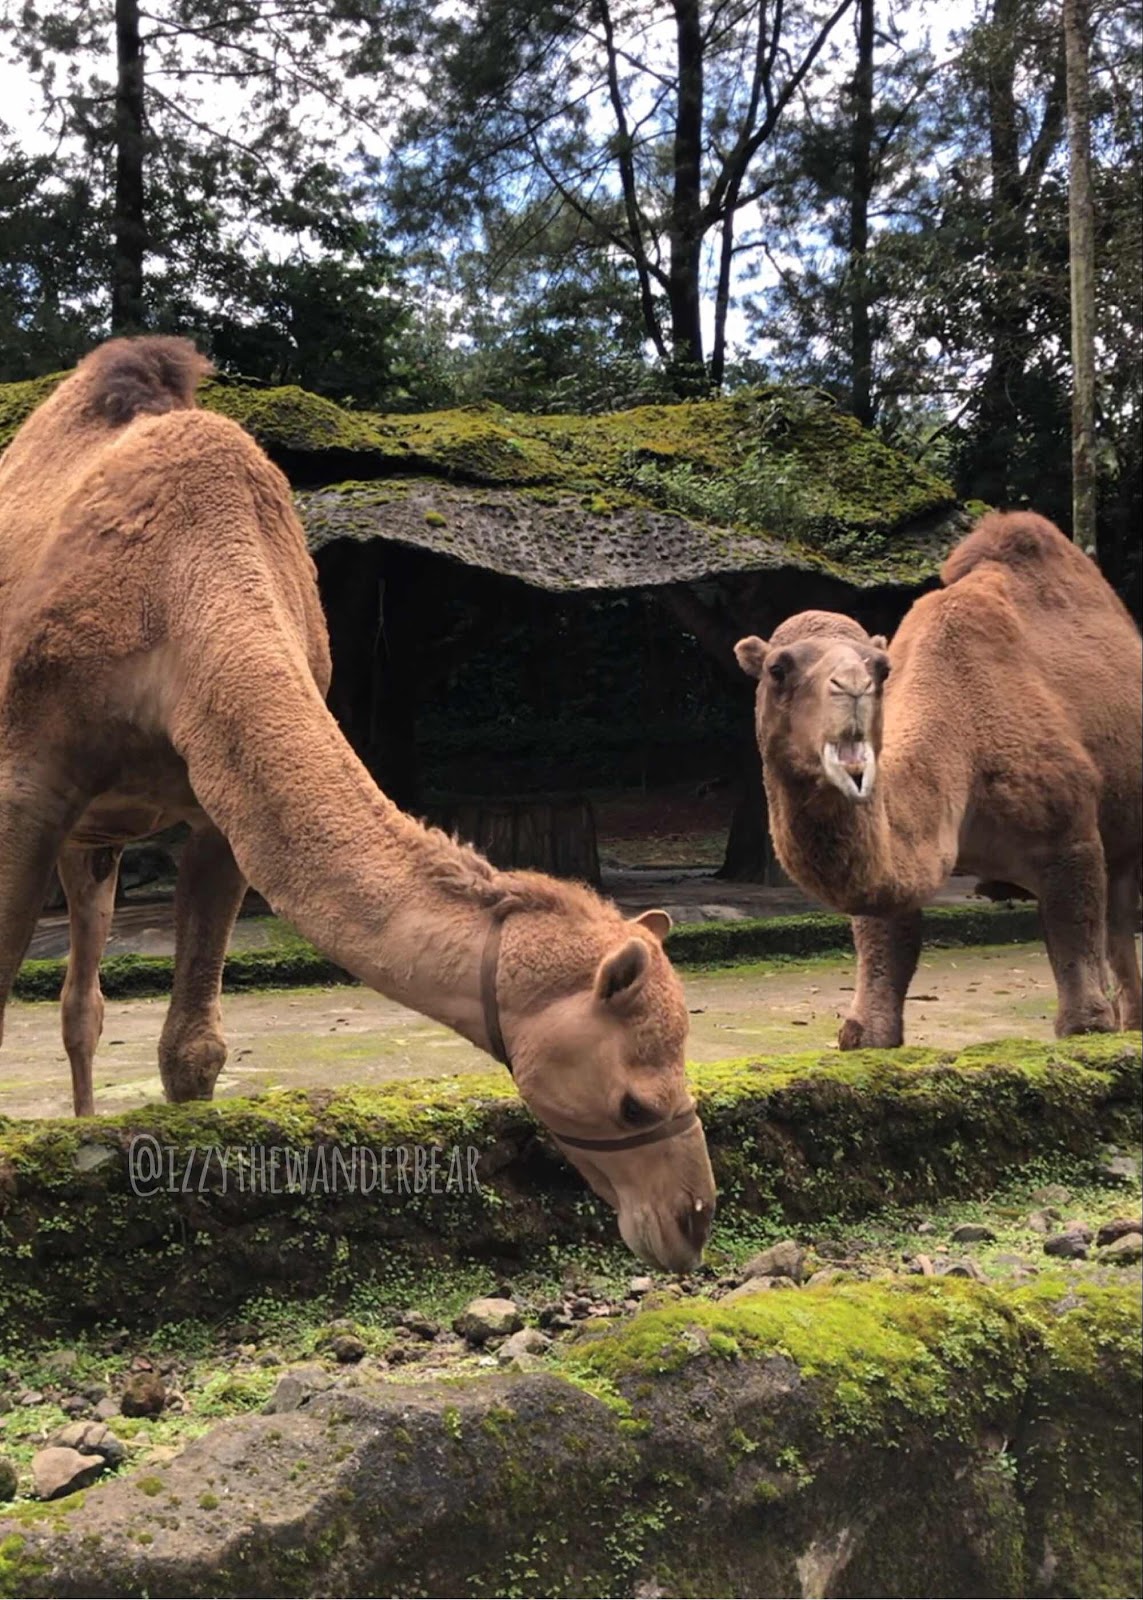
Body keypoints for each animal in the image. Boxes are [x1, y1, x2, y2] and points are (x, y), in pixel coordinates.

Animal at [0, 337, 710, 1273]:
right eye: (633, 1100)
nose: (691, 1219)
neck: (181, 587)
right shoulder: (27, 779)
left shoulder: (220, 804)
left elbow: (193, 1050)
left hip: (98, 841)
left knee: (83, 1002)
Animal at [733, 512, 1133, 1056]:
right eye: (778, 668)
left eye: (880, 668)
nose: (853, 687)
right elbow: (885, 939)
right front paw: (865, 1031)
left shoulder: (1070, 831)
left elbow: (1076, 932)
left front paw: (1091, 1024)